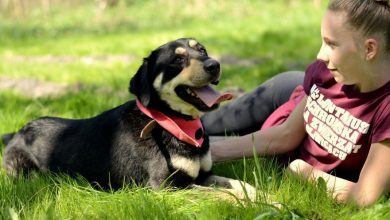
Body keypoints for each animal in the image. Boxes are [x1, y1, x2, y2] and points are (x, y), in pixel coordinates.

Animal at [2, 38, 256, 198]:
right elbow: (223, 194)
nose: (215, 64)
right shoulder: (168, 186)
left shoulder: (204, 175)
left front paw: (260, 195)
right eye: (177, 60)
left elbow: (238, 185)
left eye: (202, 50)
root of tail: (17, 132)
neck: (172, 122)